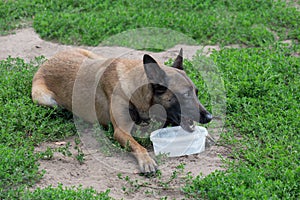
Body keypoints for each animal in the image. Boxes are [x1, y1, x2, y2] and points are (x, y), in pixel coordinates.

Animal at [31, 48, 212, 173]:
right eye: (185, 95)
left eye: (196, 92)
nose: (209, 117)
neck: (138, 90)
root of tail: (48, 61)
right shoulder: (120, 131)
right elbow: (138, 145)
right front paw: (147, 160)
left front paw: (205, 134)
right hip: (46, 100)